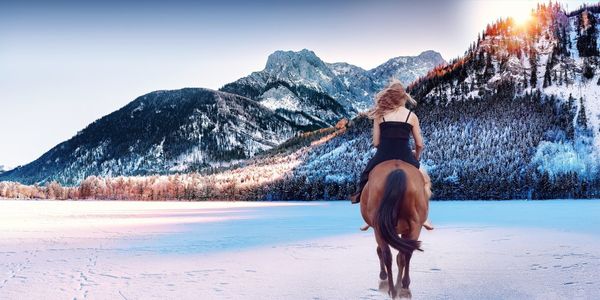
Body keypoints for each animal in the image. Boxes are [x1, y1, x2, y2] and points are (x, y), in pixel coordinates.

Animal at [360, 159, 432, 298]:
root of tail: (397, 171)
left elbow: (396, 255)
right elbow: (401, 256)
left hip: (380, 227)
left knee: (390, 254)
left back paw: (394, 288)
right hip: (414, 226)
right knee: (404, 253)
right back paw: (401, 285)